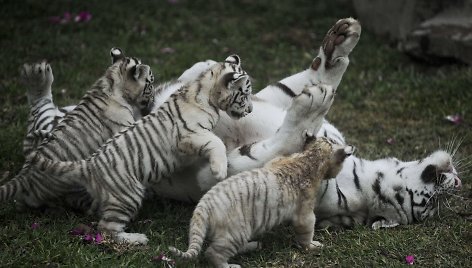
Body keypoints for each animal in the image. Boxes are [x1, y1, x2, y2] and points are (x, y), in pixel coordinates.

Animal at [32, 55, 254, 245]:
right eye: (245, 94)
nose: (251, 110)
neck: (204, 91)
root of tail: (88, 164)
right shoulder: (189, 135)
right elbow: (217, 142)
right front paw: (219, 171)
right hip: (127, 195)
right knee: (107, 229)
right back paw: (136, 239)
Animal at [170, 137, 354, 266]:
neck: (309, 158)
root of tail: (204, 205)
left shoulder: (276, 161)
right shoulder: (305, 213)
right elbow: (307, 231)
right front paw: (313, 246)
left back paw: (254, 245)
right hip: (236, 231)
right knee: (213, 253)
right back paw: (230, 265)